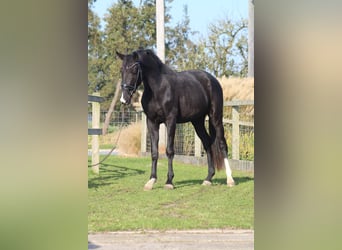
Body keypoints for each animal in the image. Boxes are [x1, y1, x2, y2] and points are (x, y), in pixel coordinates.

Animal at [116, 48, 234, 189]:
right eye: (121, 70)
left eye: (134, 70)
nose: (124, 99)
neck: (158, 89)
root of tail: (212, 80)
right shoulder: (152, 122)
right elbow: (154, 152)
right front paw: (151, 180)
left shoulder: (170, 121)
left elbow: (170, 150)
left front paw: (169, 181)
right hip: (197, 122)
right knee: (207, 143)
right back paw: (208, 179)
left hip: (215, 117)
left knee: (222, 144)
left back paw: (230, 180)